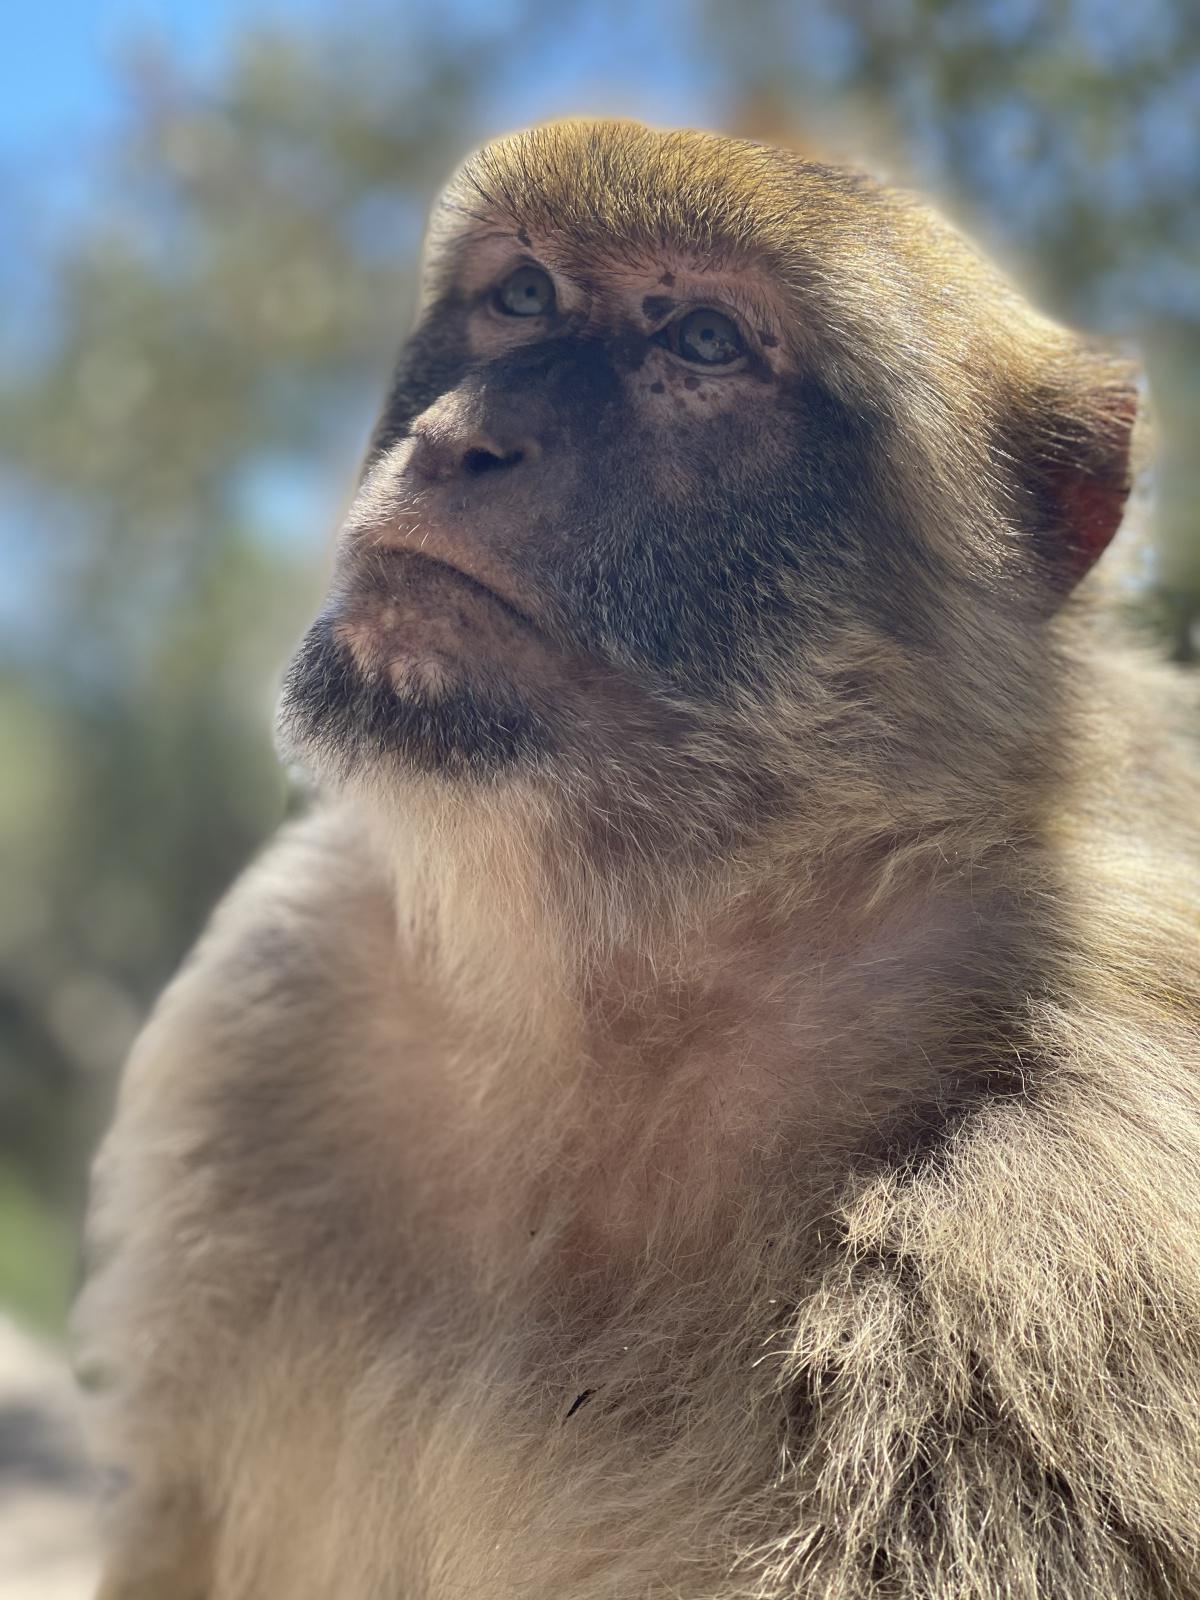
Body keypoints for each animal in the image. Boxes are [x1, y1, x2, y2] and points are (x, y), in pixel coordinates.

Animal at [77, 118, 1200, 1593]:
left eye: (708, 341)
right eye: (525, 294)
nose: (461, 439)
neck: (630, 960)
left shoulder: (1062, 1209)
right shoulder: (274, 997)